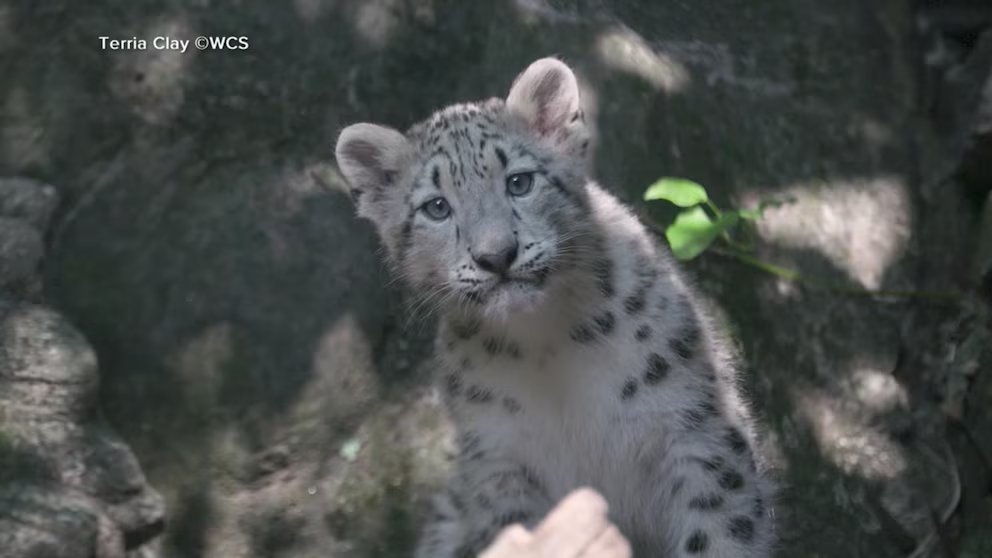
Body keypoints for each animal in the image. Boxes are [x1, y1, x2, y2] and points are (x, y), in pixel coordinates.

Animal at [335, 57, 775, 557]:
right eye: (437, 207)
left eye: (519, 181)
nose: (496, 256)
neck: (546, 346)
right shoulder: (501, 464)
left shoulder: (696, 430)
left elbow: (718, 533)